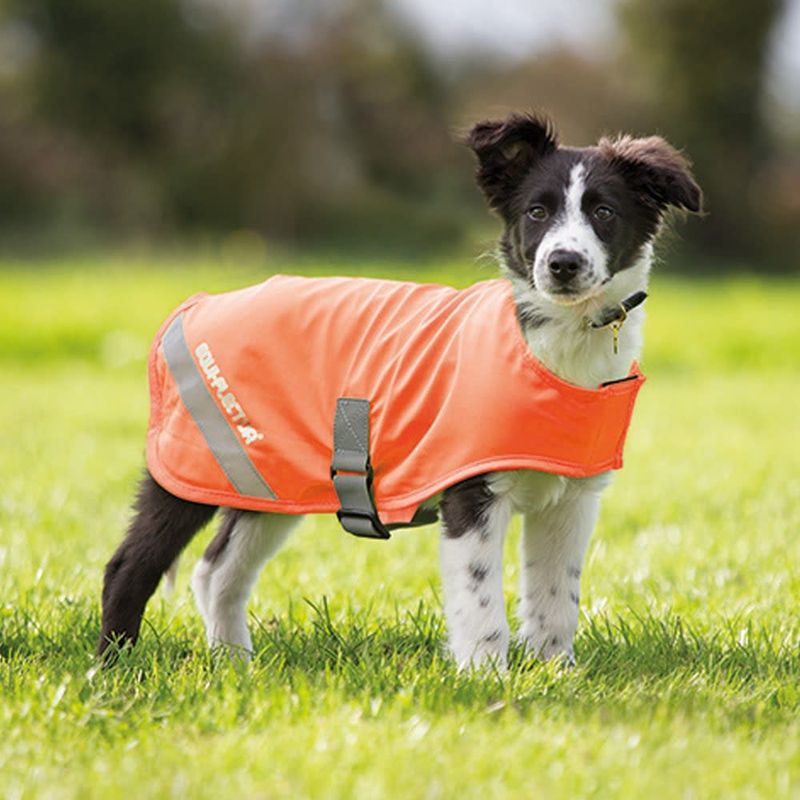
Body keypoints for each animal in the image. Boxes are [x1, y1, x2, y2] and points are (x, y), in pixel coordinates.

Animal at [98, 114, 700, 668]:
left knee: (217, 570)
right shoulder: (472, 494)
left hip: (265, 480)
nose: (563, 263)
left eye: (604, 213)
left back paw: (235, 665)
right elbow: (481, 603)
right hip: (191, 466)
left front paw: (554, 672)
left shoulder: (571, 498)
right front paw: (489, 681)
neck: (556, 345)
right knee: (130, 565)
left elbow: (557, 599)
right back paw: (115, 668)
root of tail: (202, 301)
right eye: (537, 212)